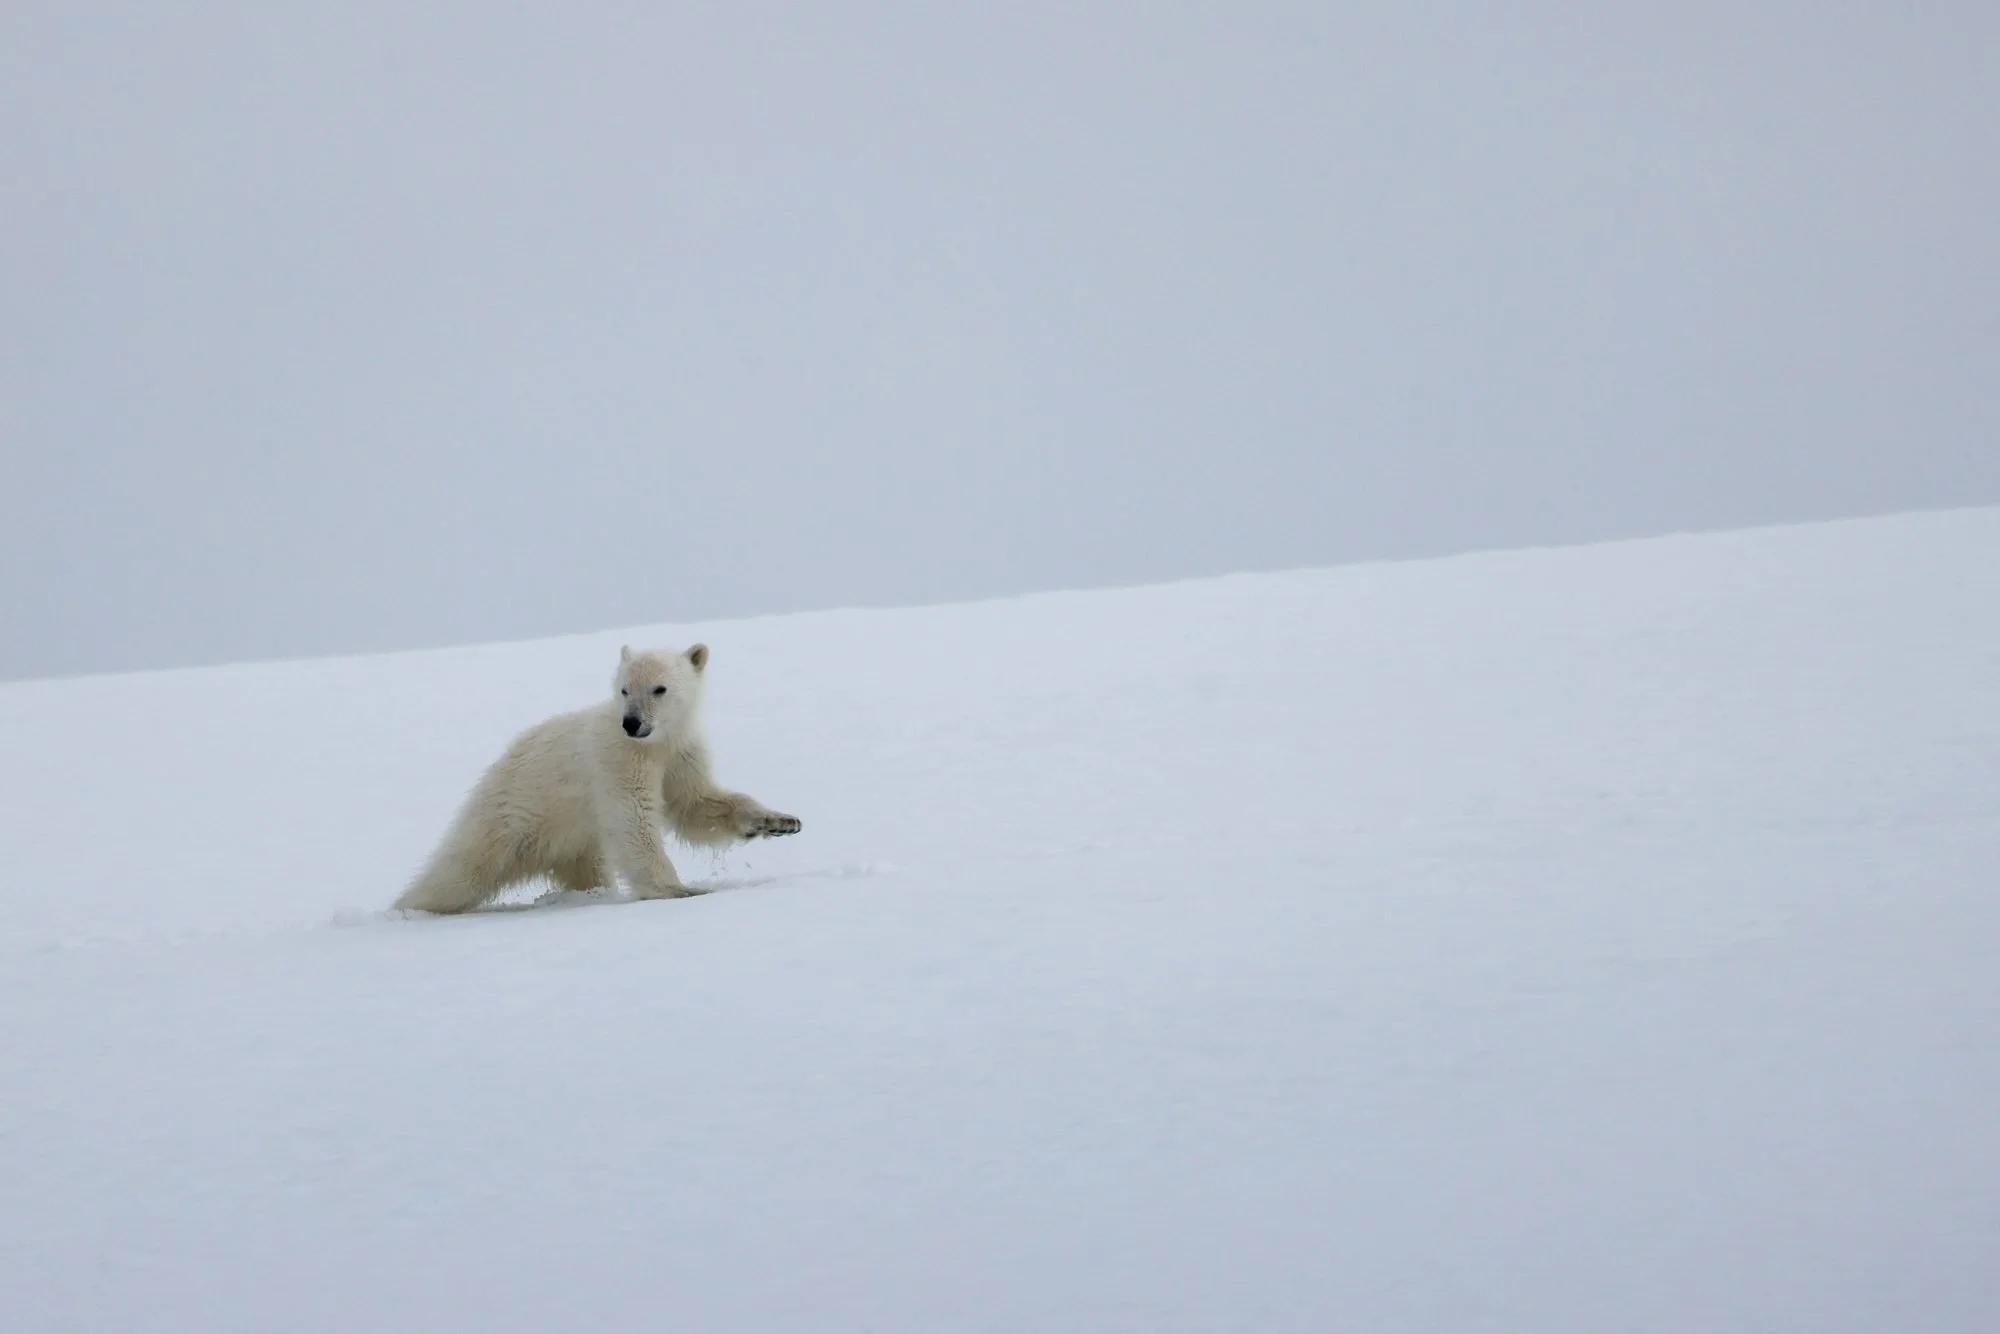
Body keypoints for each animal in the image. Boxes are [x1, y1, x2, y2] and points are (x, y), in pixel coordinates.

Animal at [394, 643, 801, 915]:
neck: (653, 744)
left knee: (587, 870)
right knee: (457, 872)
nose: (632, 722)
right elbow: (633, 818)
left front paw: (779, 822)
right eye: (624, 688)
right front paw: (680, 890)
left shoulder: (680, 753)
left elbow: (695, 804)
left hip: (573, 842)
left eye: (659, 688)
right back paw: (410, 907)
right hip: (510, 814)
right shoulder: (617, 758)